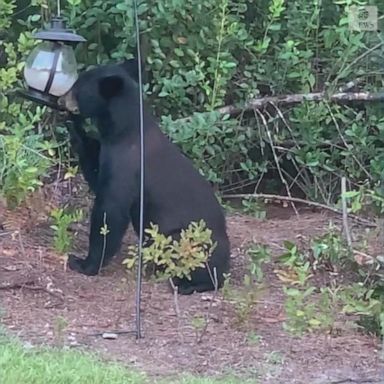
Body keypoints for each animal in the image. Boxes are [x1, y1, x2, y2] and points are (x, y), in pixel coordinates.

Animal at [58, 59, 230, 294]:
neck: (124, 129)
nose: (60, 99)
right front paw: (76, 130)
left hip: (186, 241)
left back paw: (187, 284)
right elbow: (96, 175)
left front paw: (84, 263)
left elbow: (111, 210)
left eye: (77, 87)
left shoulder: (126, 164)